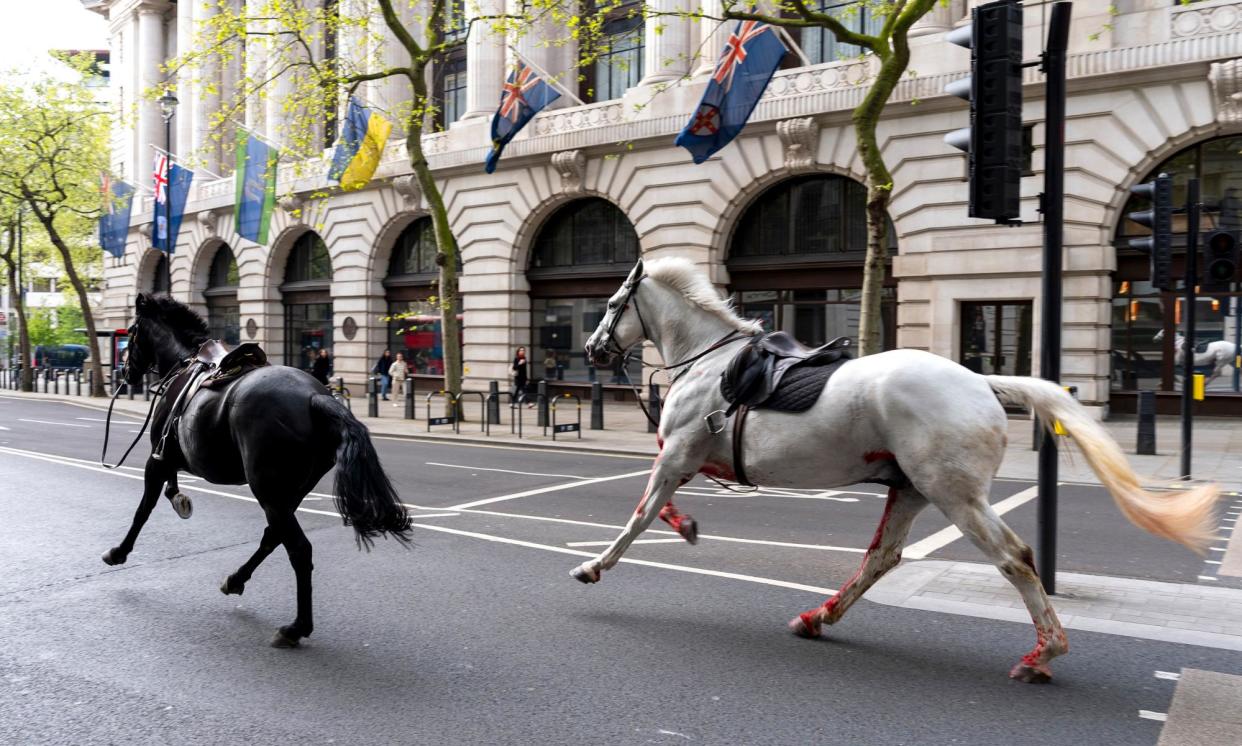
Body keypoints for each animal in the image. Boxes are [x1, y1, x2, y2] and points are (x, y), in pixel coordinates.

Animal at [104, 294, 409, 640]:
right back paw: (236, 580)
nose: (124, 371)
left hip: (269, 491)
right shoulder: (170, 457)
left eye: (131, 331)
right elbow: (169, 489)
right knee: (273, 537)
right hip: (288, 494)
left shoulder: (158, 458)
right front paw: (180, 499)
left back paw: (296, 627)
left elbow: (143, 509)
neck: (184, 363)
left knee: (299, 550)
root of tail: (315, 397)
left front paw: (119, 551)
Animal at [576, 259, 1217, 685]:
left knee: (1014, 558)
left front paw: (593, 566)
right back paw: (818, 616)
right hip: (910, 489)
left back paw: (1043, 654)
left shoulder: (676, 454)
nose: (592, 349)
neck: (710, 362)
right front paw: (685, 526)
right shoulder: (686, 459)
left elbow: (639, 515)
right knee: (882, 558)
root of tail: (983, 382)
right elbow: (661, 507)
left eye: (609, 305)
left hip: (954, 493)